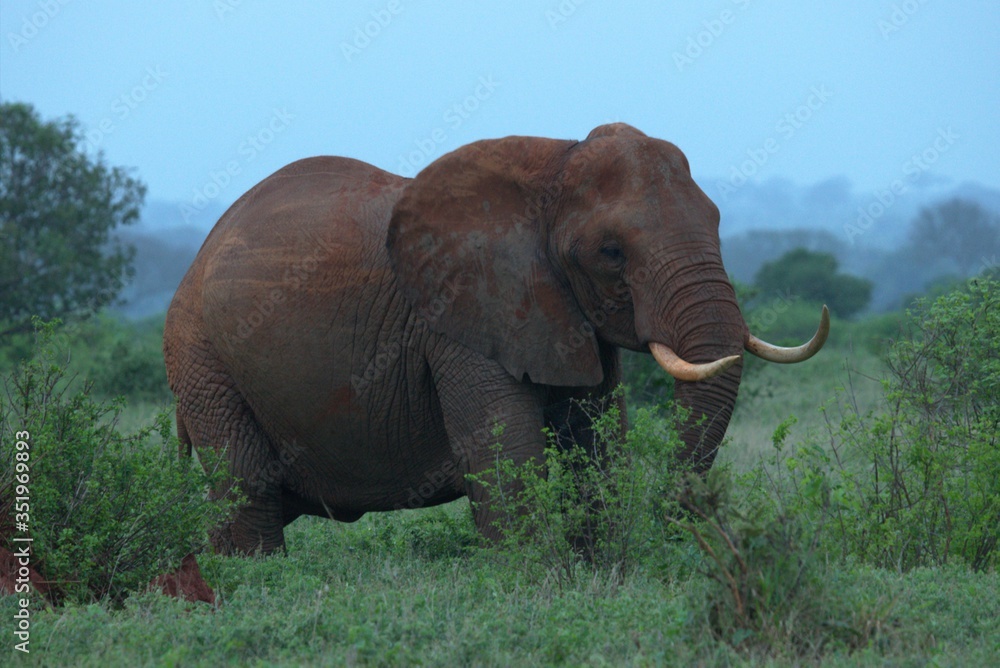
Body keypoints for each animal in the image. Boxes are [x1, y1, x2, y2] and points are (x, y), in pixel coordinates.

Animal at [163, 123, 828, 555]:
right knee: (245, 484)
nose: (681, 529)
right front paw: (534, 582)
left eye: (717, 219)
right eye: (611, 252)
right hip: (201, 355)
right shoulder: (463, 315)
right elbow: (506, 455)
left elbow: (594, 449)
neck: (554, 165)